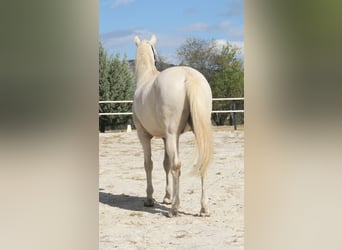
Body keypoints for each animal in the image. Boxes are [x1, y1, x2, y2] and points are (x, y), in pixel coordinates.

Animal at [132, 34, 212, 216]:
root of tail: (188, 76)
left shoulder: (144, 136)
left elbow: (149, 164)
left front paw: (150, 199)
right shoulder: (168, 137)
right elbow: (165, 164)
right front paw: (167, 197)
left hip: (169, 134)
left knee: (176, 166)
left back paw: (174, 209)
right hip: (192, 133)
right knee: (202, 164)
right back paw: (203, 208)